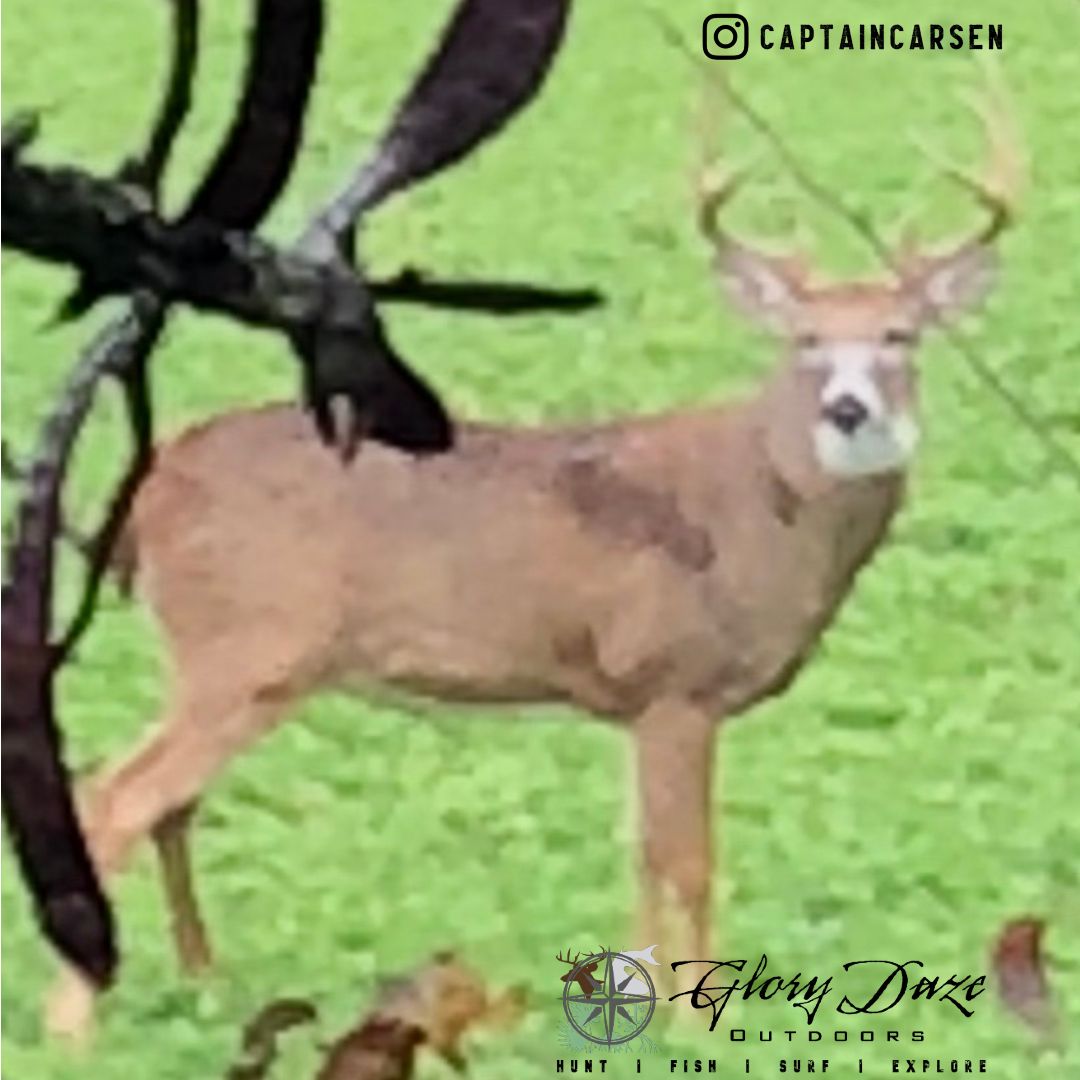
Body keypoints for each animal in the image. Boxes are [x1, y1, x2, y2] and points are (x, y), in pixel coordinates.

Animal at [44, 92, 1019, 1041]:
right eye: (806, 341)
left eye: (901, 335)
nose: (849, 409)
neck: (757, 508)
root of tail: (148, 487)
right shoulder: (678, 681)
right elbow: (691, 860)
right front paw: (701, 1025)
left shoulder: (635, 702)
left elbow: (640, 852)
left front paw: (641, 1008)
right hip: (249, 646)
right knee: (114, 799)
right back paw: (75, 1026)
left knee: (166, 804)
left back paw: (204, 979)